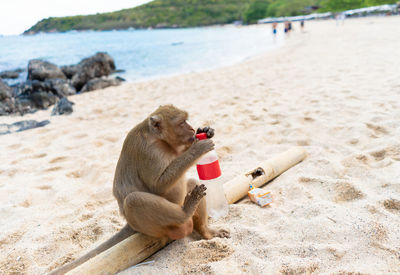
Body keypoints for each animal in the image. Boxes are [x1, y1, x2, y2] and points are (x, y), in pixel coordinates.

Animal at [49, 104, 230, 274]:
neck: (158, 138)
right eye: (182, 122)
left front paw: (204, 131)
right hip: (152, 226)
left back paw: (205, 231)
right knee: (133, 201)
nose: (192, 129)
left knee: (191, 183)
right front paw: (197, 149)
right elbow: (158, 184)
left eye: (187, 120)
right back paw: (186, 210)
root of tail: (130, 224)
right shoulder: (149, 151)